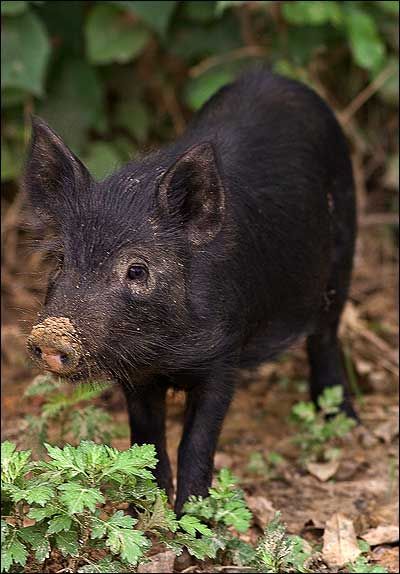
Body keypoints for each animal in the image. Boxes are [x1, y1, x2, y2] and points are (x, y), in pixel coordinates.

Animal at [25, 70, 356, 516]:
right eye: (60, 259)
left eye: (137, 269)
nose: (50, 334)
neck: (166, 351)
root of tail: (276, 76)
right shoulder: (137, 374)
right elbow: (146, 439)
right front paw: (143, 510)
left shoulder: (223, 357)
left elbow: (196, 444)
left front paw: (192, 517)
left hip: (343, 248)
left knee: (325, 336)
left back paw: (345, 420)